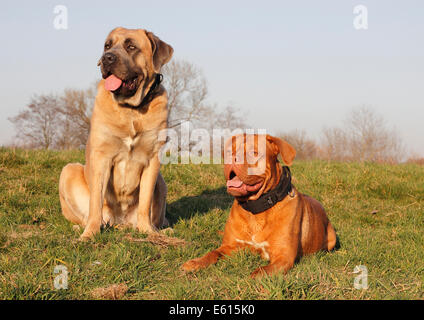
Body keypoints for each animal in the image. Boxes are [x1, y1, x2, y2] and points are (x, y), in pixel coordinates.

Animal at [58, 27, 173, 239]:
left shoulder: (153, 159)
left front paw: (148, 231)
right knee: (84, 214)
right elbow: (95, 202)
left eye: (131, 46)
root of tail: (121, 222)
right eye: (107, 45)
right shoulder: (101, 157)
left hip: (161, 182)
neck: (131, 110)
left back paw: (161, 229)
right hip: (68, 170)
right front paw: (89, 234)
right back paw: (84, 227)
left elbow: (145, 202)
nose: (107, 58)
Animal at [183, 134, 338, 276]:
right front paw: (196, 262)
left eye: (254, 152)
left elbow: (260, 272)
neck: (256, 209)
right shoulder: (230, 246)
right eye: (228, 152)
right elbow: (213, 253)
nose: (232, 159)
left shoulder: (283, 257)